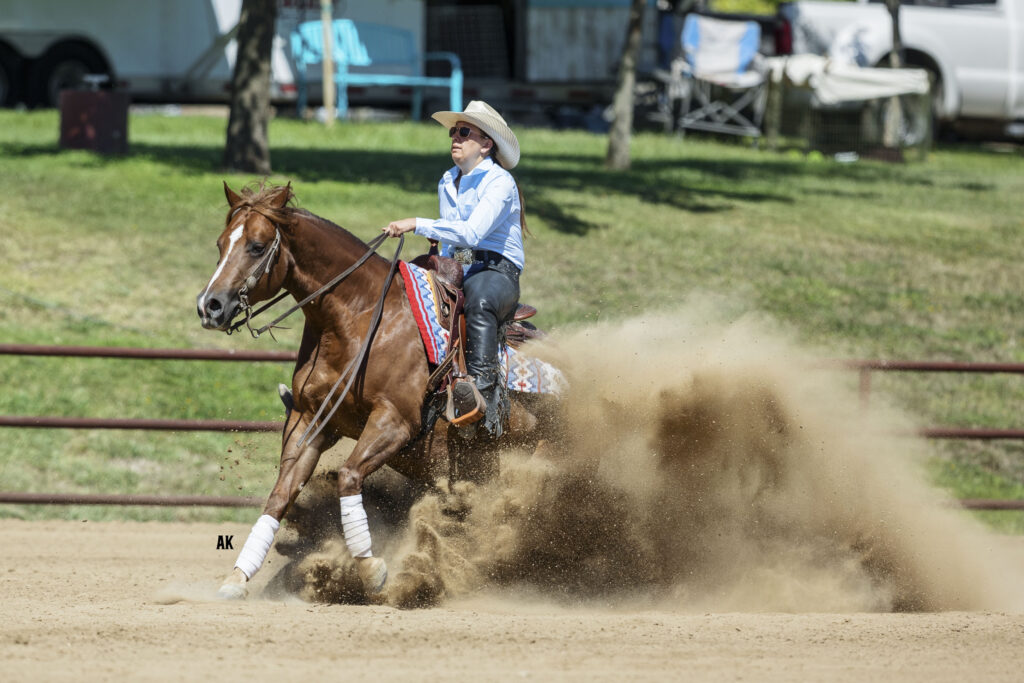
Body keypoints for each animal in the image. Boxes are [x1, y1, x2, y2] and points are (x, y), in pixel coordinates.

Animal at [196, 180, 557, 598]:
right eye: (221, 243)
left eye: (256, 246)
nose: (210, 306)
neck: (359, 316)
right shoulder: (311, 420)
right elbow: (280, 495)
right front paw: (237, 577)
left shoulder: (394, 422)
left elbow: (349, 476)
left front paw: (371, 568)